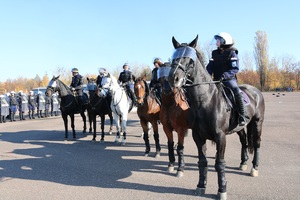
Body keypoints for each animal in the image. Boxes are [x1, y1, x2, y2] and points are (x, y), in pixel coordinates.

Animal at [169, 35, 264, 199]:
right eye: (174, 57)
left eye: (190, 60)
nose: (173, 78)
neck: (205, 100)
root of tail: (256, 91)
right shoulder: (198, 136)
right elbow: (202, 162)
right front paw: (201, 185)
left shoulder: (220, 136)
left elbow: (219, 164)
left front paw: (222, 190)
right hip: (241, 127)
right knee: (244, 141)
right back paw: (243, 163)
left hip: (257, 123)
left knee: (257, 144)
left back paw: (254, 168)